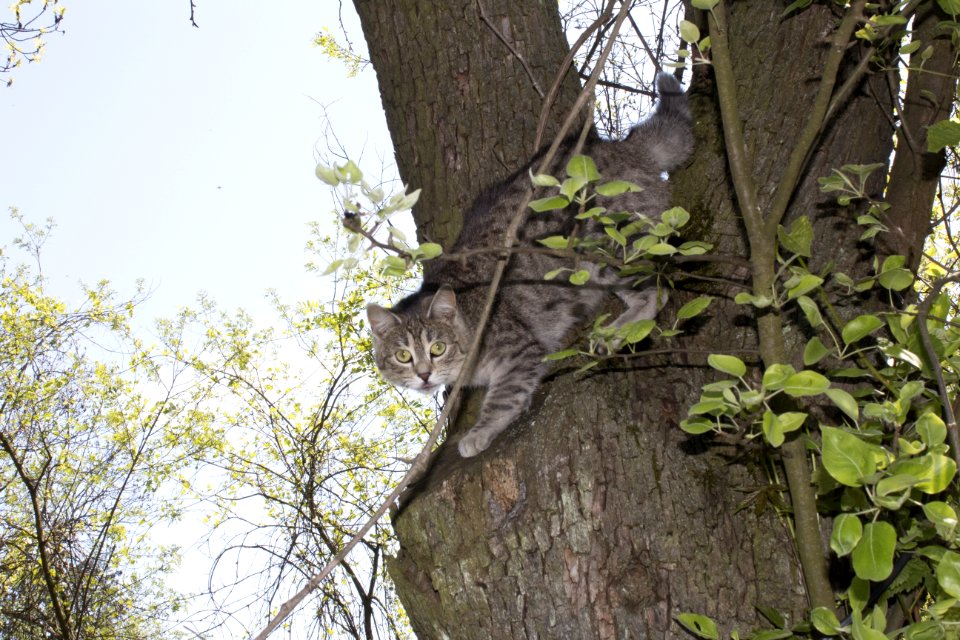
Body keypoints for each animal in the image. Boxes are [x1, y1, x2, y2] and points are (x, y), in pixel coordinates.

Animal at [366, 72, 688, 458]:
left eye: (437, 348)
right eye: (402, 356)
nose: (425, 375)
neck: (469, 320)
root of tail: (625, 149)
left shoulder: (520, 352)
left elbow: (504, 397)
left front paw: (478, 432)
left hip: (602, 245)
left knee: (656, 292)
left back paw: (614, 331)